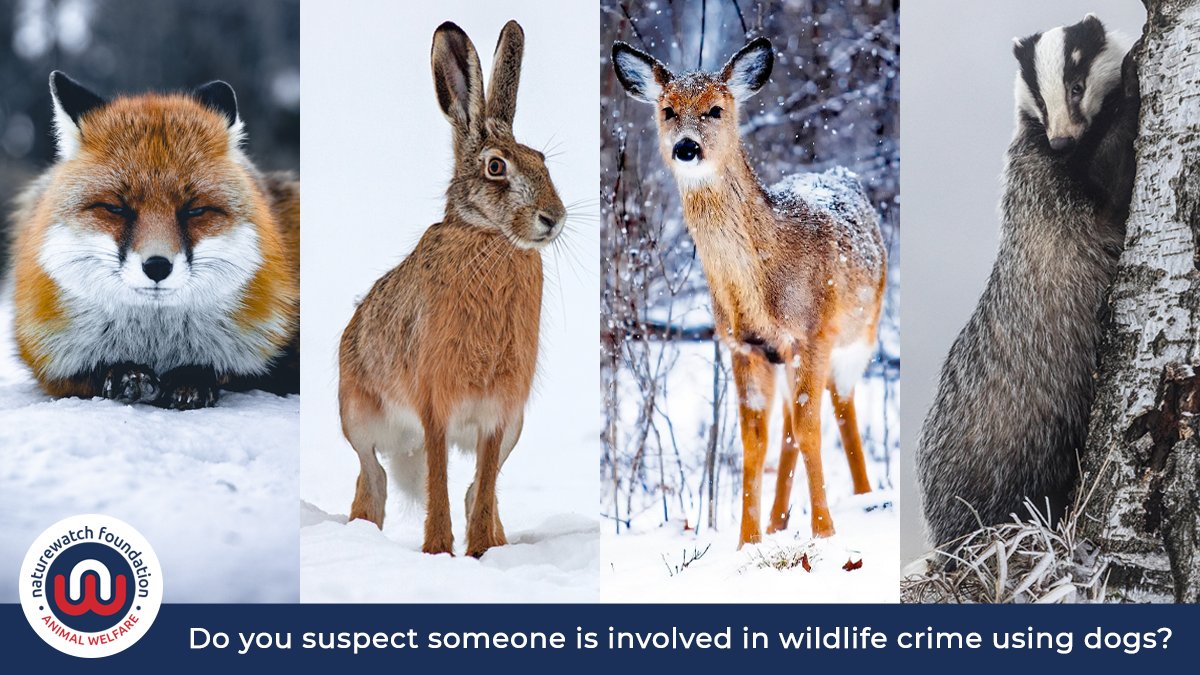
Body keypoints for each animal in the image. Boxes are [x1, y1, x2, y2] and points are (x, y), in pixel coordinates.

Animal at [8, 72, 299, 410]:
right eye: (116, 208)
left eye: (194, 210)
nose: (157, 266)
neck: (155, 344)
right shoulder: (50, 360)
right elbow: (89, 374)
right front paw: (125, 373)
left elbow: (226, 371)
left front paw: (190, 380)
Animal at [612, 37, 887, 548]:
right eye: (668, 110)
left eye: (716, 109)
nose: (686, 147)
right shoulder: (744, 346)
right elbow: (754, 442)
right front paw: (747, 541)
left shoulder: (812, 334)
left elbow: (812, 430)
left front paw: (825, 533)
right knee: (789, 428)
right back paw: (779, 520)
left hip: (861, 333)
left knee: (841, 409)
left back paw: (865, 496)